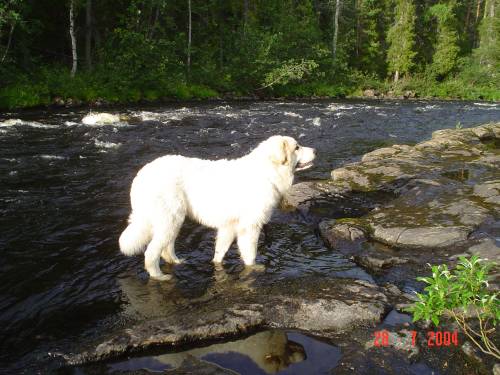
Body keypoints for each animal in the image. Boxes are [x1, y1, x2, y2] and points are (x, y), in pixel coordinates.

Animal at [119, 135, 314, 280]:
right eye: (297, 147)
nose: (316, 151)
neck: (268, 172)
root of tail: (141, 175)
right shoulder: (250, 227)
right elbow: (250, 254)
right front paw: (254, 269)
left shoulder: (229, 226)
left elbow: (220, 252)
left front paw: (217, 266)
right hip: (170, 219)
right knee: (151, 254)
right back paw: (159, 277)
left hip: (172, 221)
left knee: (166, 249)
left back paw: (177, 263)